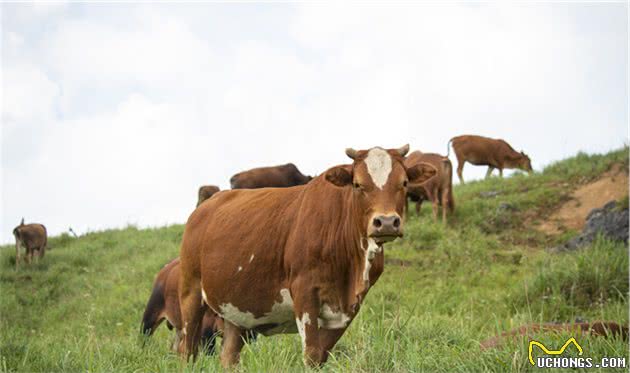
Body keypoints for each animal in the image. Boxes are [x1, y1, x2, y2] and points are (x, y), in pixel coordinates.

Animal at [179, 145, 440, 366]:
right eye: (357, 184)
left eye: (404, 182)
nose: (386, 222)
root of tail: (205, 206)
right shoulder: (304, 293)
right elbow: (312, 355)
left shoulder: (348, 307)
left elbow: (322, 355)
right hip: (190, 293)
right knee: (187, 349)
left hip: (235, 311)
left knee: (229, 356)